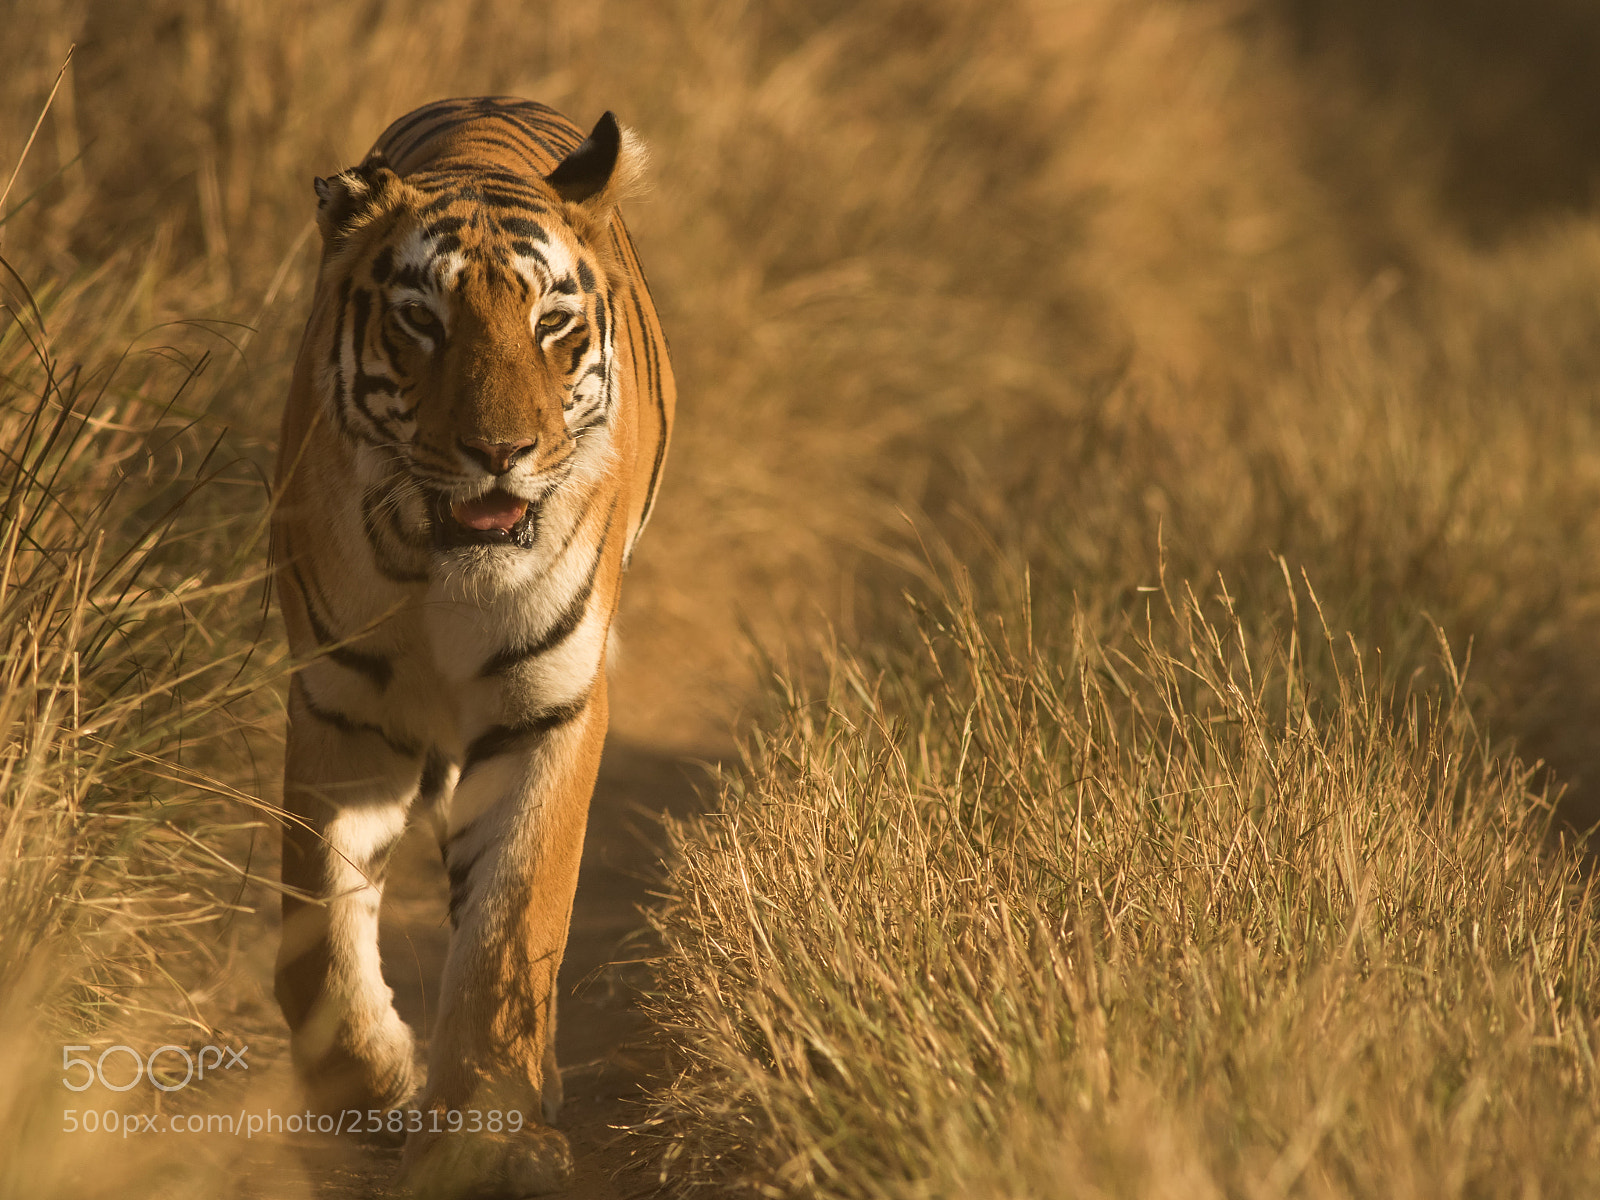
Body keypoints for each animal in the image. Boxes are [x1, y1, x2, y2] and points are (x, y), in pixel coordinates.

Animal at [270, 97, 674, 1197]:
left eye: (551, 324)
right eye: (423, 322)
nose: (502, 453)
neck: (446, 574)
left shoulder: (550, 707)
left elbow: (512, 924)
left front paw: (487, 1136)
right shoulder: (341, 706)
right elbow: (316, 936)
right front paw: (372, 1093)